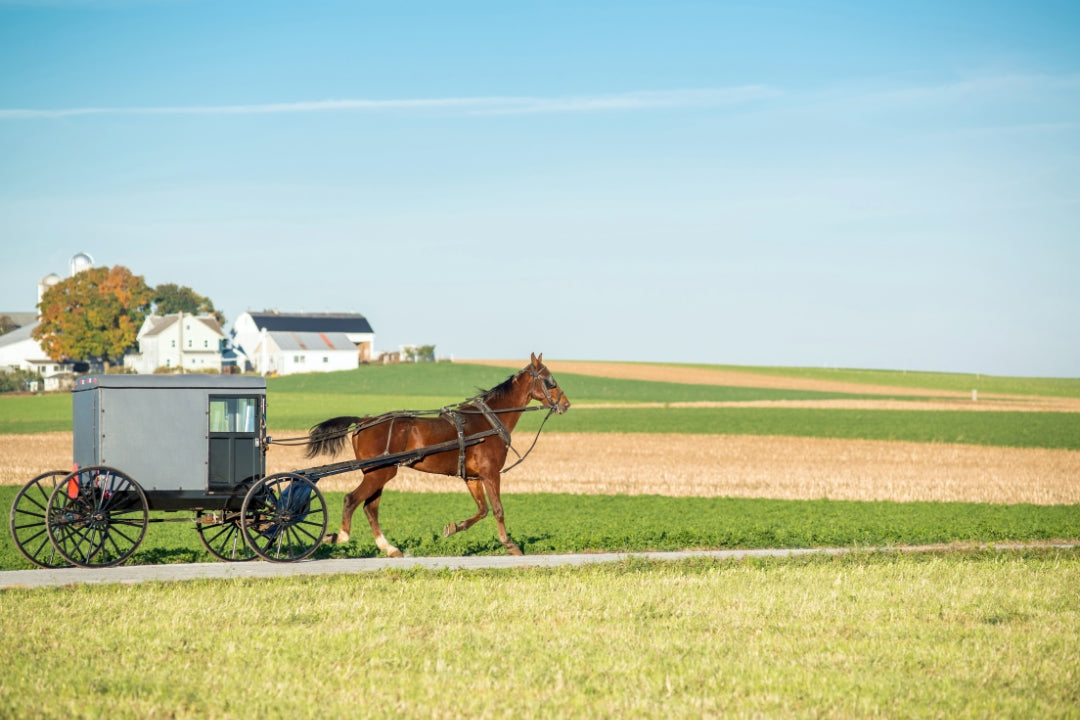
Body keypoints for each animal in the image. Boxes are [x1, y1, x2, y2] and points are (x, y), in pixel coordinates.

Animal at [306, 354, 574, 557]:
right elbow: (497, 509)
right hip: (380, 472)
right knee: (351, 500)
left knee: (370, 509)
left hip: (379, 473)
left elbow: (483, 510)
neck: (489, 420)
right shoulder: (491, 473)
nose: (566, 404)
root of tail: (364, 420)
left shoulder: (472, 477)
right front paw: (510, 544)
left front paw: (454, 527)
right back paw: (340, 536)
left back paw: (390, 548)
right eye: (550, 380)